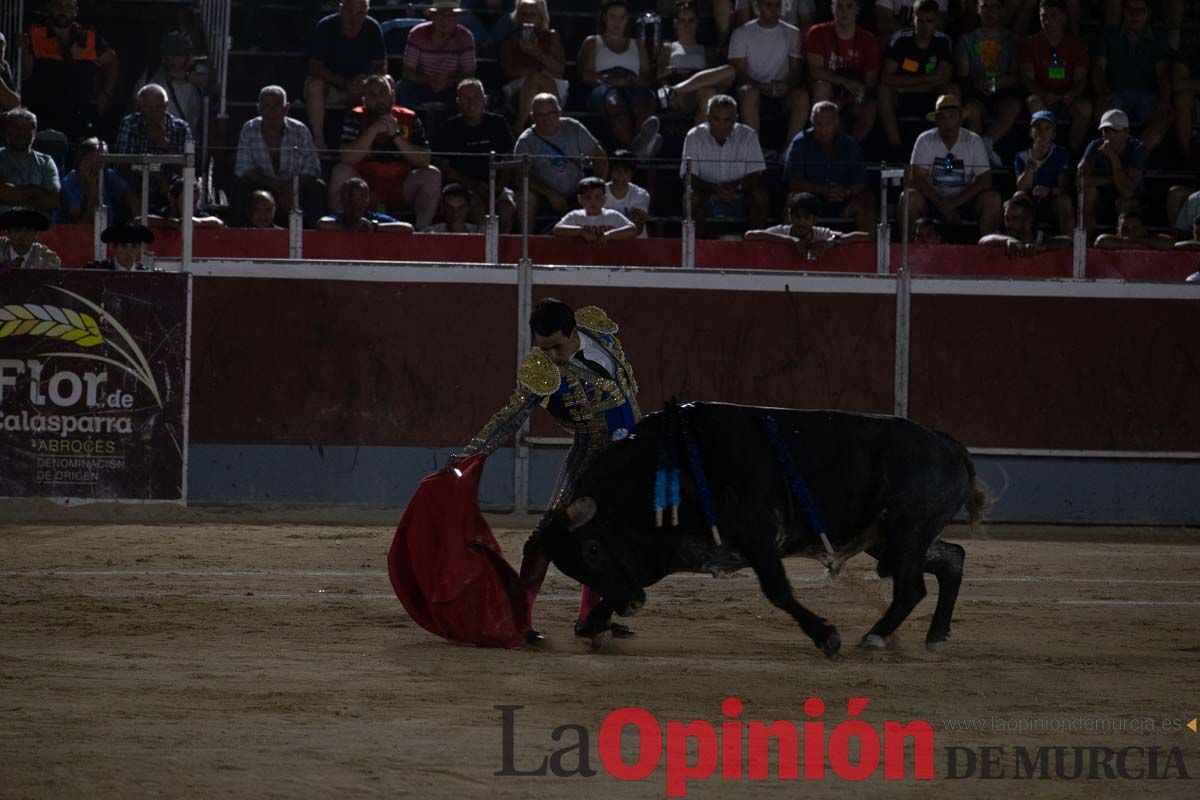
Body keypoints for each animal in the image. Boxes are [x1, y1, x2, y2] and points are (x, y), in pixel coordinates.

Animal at [540, 400, 988, 657]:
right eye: (573, 566)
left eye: (592, 549)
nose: (632, 605)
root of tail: (945, 443)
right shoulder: (674, 549)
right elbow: (630, 582)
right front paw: (596, 626)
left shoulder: (758, 538)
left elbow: (778, 591)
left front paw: (826, 637)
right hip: (890, 542)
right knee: (952, 559)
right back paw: (936, 636)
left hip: (907, 532)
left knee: (912, 587)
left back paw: (875, 637)